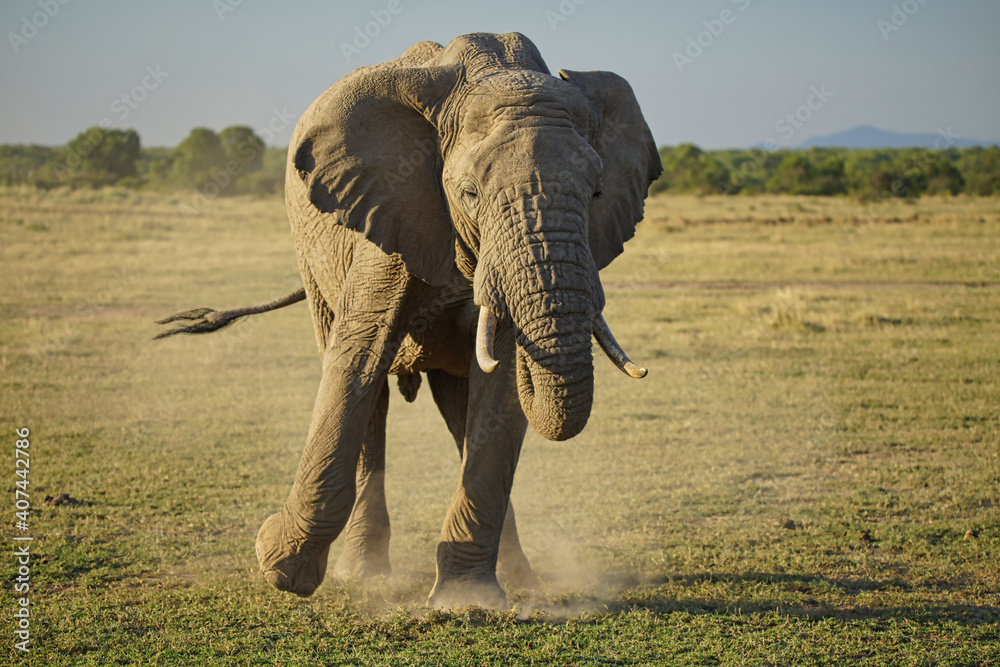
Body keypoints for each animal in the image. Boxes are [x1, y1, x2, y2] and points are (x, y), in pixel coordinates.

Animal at [156, 32, 661, 609]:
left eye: (597, 192)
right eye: (469, 194)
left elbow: (501, 392)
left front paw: (468, 602)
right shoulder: (389, 211)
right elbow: (358, 358)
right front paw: (278, 565)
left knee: (461, 415)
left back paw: (521, 580)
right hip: (313, 261)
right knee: (367, 389)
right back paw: (363, 575)